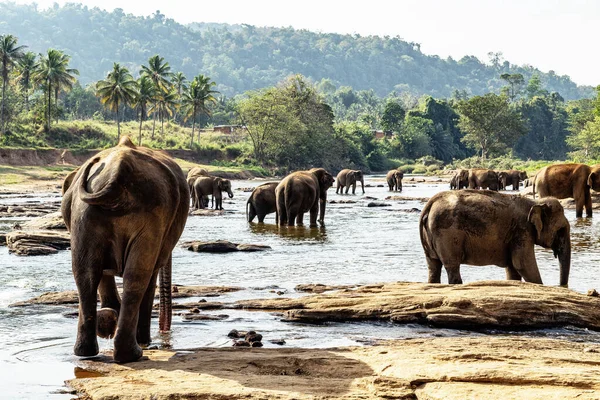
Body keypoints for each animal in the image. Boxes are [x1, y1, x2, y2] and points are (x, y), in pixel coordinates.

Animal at [60, 137, 188, 362]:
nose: (164, 331)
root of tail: (117, 173)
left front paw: (109, 320)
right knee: (137, 275)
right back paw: (134, 350)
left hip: (84, 214)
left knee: (86, 274)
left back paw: (92, 352)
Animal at [420, 191, 568, 288]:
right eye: (561, 230)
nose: (562, 287)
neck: (535, 202)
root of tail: (430, 203)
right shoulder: (522, 230)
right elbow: (523, 263)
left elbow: (513, 268)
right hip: (448, 234)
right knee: (452, 267)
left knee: (433, 266)